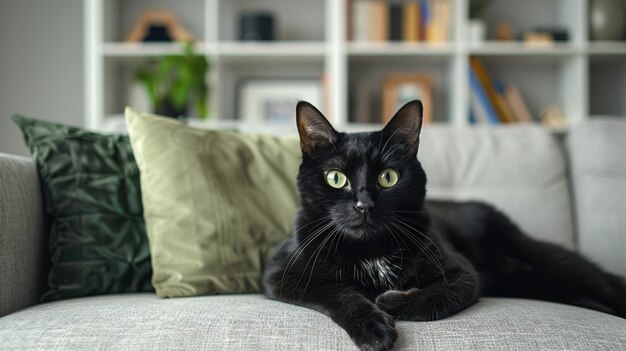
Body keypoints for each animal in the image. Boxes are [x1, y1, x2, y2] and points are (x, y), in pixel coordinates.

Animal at [260, 100, 624, 350]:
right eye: (335, 178)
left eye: (388, 177)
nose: (364, 205)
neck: (371, 250)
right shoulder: (282, 275)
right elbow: (338, 292)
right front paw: (374, 328)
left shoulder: (463, 273)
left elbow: (439, 297)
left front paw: (390, 302)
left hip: (543, 259)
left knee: (599, 280)